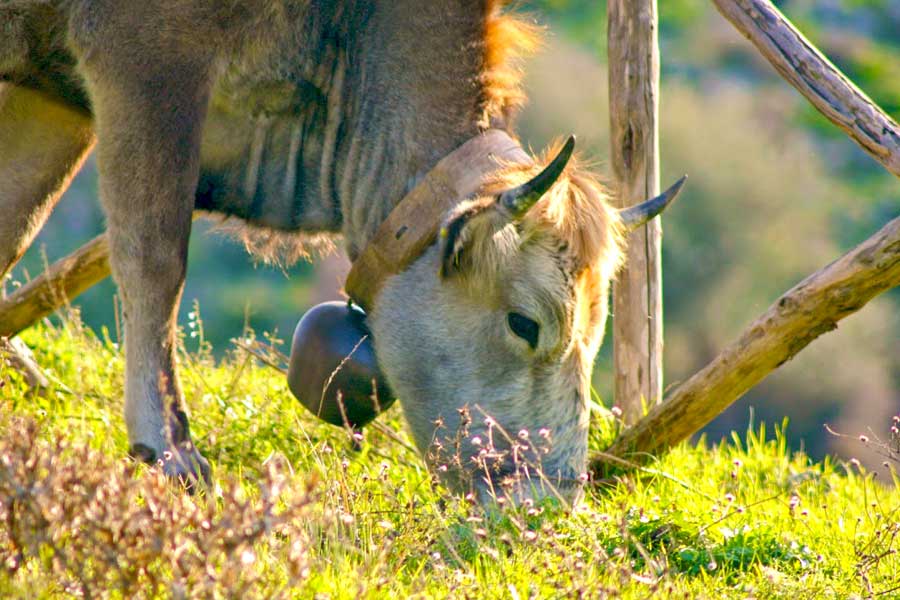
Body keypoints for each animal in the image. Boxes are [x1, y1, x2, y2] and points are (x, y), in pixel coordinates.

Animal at [0, 1, 676, 502]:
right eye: (524, 323)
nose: (549, 499)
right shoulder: (146, 62)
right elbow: (154, 259)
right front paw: (171, 451)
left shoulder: (55, 100)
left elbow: (14, 226)